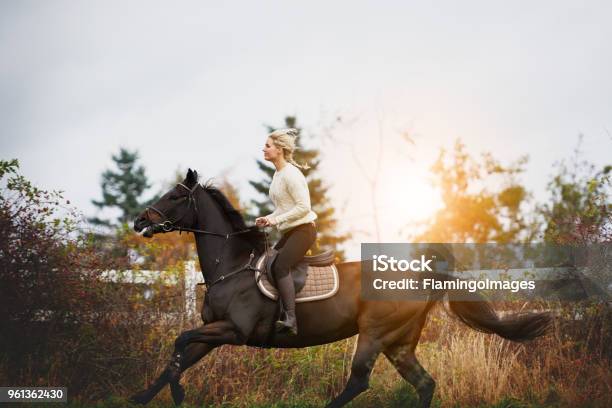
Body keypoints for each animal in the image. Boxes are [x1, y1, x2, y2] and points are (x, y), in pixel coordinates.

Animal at [131, 167, 552, 406]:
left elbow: (180, 342)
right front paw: (141, 397)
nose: (139, 221)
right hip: (399, 343)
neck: (231, 267)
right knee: (424, 384)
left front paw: (177, 395)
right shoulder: (213, 332)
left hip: (374, 334)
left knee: (359, 382)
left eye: (174, 196)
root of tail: (421, 273)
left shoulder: (234, 331)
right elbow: (179, 355)